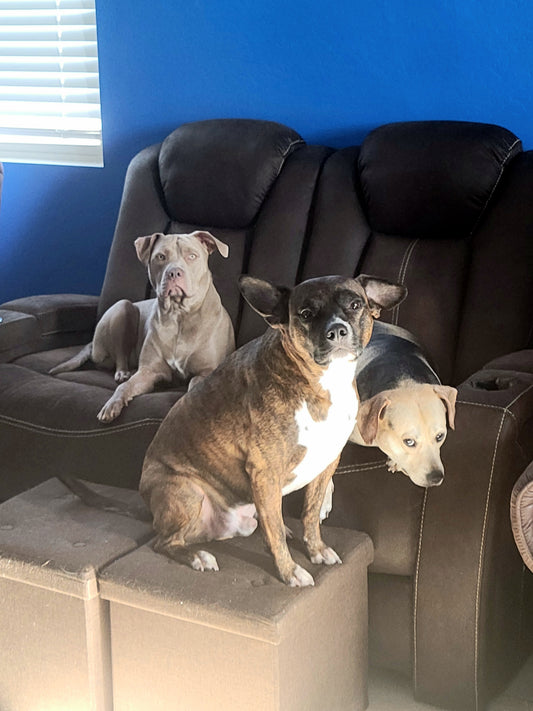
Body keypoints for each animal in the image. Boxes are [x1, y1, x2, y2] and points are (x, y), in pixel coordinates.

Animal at [50, 232, 235, 422]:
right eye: (160, 257)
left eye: (192, 256)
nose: (174, 272)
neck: (179, 316)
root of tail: (93, 345)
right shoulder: (148, 371)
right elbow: (125, 387)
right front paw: (112, 404)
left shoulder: (206, 372)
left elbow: (193, 387)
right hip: (123, 307)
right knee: (121, 355)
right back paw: (122, 373)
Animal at [139, 276, 406, 588]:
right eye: (306, 314)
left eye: (355, 305)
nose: (337, 330)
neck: (324, 382)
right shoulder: (265, 473)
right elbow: (276, 533)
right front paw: (290, 571)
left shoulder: (326, 464)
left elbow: (310, 514)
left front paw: (316, 550)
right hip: (187, 493)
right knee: (165, 542)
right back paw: (198, 557)